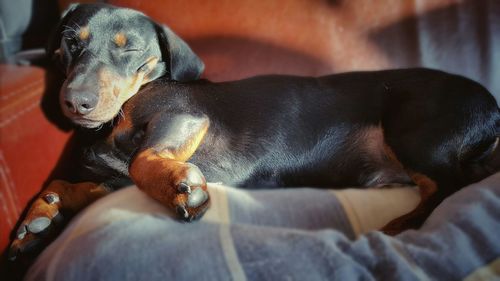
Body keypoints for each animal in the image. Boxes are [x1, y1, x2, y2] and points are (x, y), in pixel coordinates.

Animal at [7, 2, 500, 266]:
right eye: (70, 41)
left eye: (130, 50)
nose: (75, 102)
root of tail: (491, 106)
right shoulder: (112, 181)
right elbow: (65, 182)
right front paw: (38, 220)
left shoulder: (183, 118)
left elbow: (144, 159)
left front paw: (183, 188)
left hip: (415, 130)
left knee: (449, 186)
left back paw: (405, 223)